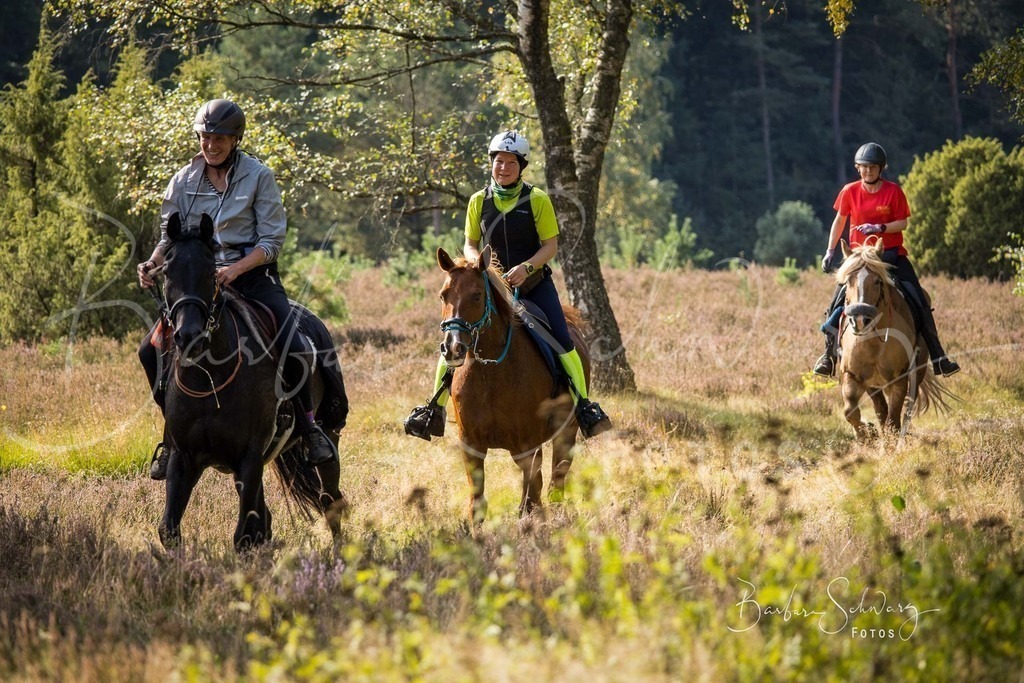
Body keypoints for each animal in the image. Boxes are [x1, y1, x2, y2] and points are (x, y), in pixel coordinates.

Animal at [436, 245, 588, 522]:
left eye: (477, 295)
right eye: (443, 295)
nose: (453, 347)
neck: (490, 373)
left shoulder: (528, 445)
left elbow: (532, 497)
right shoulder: (471, 444)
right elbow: (477, 503)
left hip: (567, 431)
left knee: (556, 481)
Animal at [835, 240, 949, 440]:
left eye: (877, 281)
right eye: (848, 281)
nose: (859, 319)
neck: (872, 342)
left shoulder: (899, 380)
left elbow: (893, 421)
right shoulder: (852, 375)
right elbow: (851, 413)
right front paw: (868, 435)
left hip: (916, 372)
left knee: (906, 410)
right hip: (874, 385)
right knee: (880, 409)